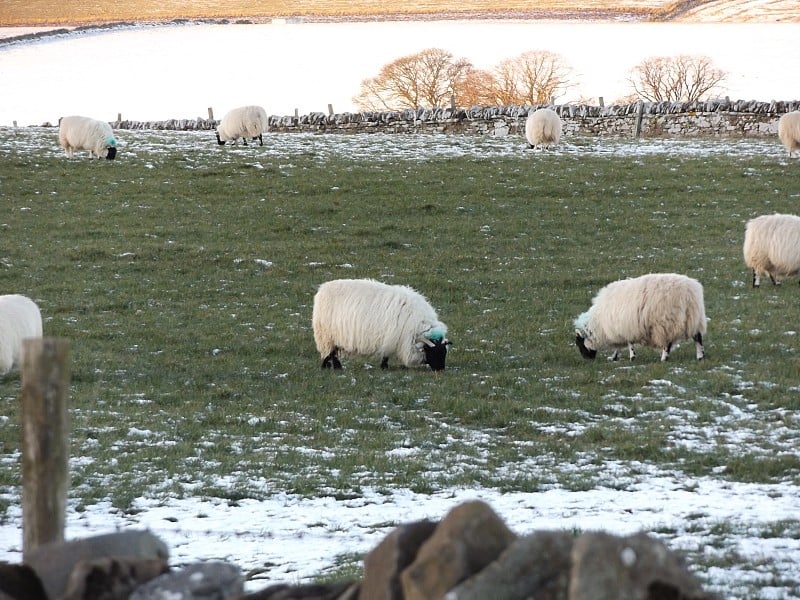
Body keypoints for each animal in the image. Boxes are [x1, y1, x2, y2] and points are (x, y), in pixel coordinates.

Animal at [312, 278, 450, 370]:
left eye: (444, 352)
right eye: (435, 352)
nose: (440, 370)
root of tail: (322, 289)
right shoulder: (390, 337)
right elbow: (386, 353)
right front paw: (384, 366)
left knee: (332, 352)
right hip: (326, 335)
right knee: (330, 352)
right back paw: (331, 367)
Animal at [576, 274, 708, 364]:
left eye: (579, 343)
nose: (587, 359)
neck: (599, 323)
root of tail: (689, 293)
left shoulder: (626, 326)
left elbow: (629, 344)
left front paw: (632, 357)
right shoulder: (620, 329)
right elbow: (619, 346)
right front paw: (614, 357)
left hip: (666, 321)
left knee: (668, 343)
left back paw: (664, 358)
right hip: (694, 318)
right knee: (698, 338)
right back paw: (700, 356)